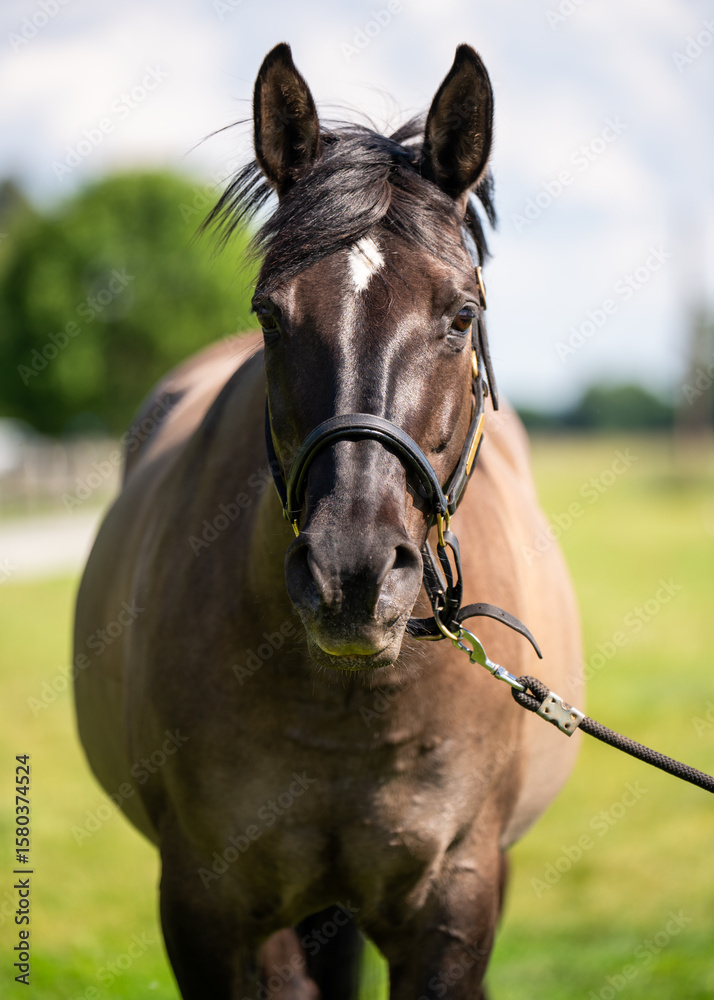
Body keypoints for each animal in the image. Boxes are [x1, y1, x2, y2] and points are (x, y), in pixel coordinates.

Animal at [74, 42, 582, 999]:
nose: (352, 576)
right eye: (270, 316)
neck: (350, 703)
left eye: (462, 314)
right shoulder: (208, 906)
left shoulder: (456, 896)